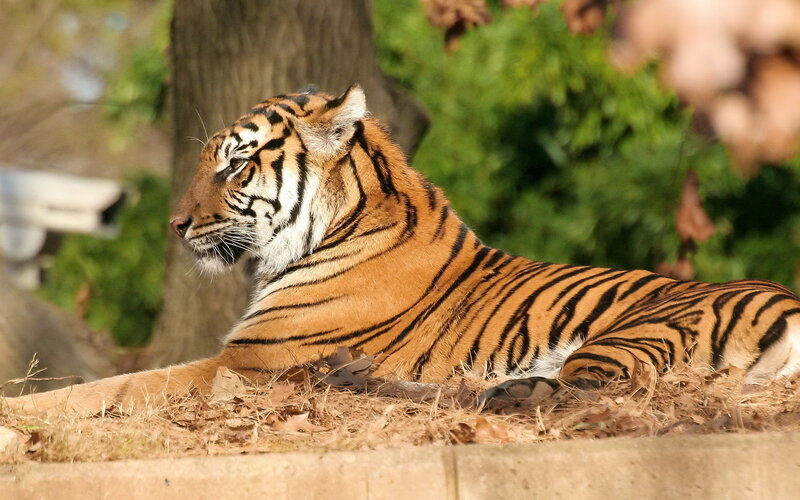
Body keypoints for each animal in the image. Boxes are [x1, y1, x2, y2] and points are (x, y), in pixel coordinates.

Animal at [5, 85, 800, 416]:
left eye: (234, 164)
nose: (174, 225)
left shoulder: (245, 364)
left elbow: (116, 387)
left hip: (633, 331)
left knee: (597, 389)